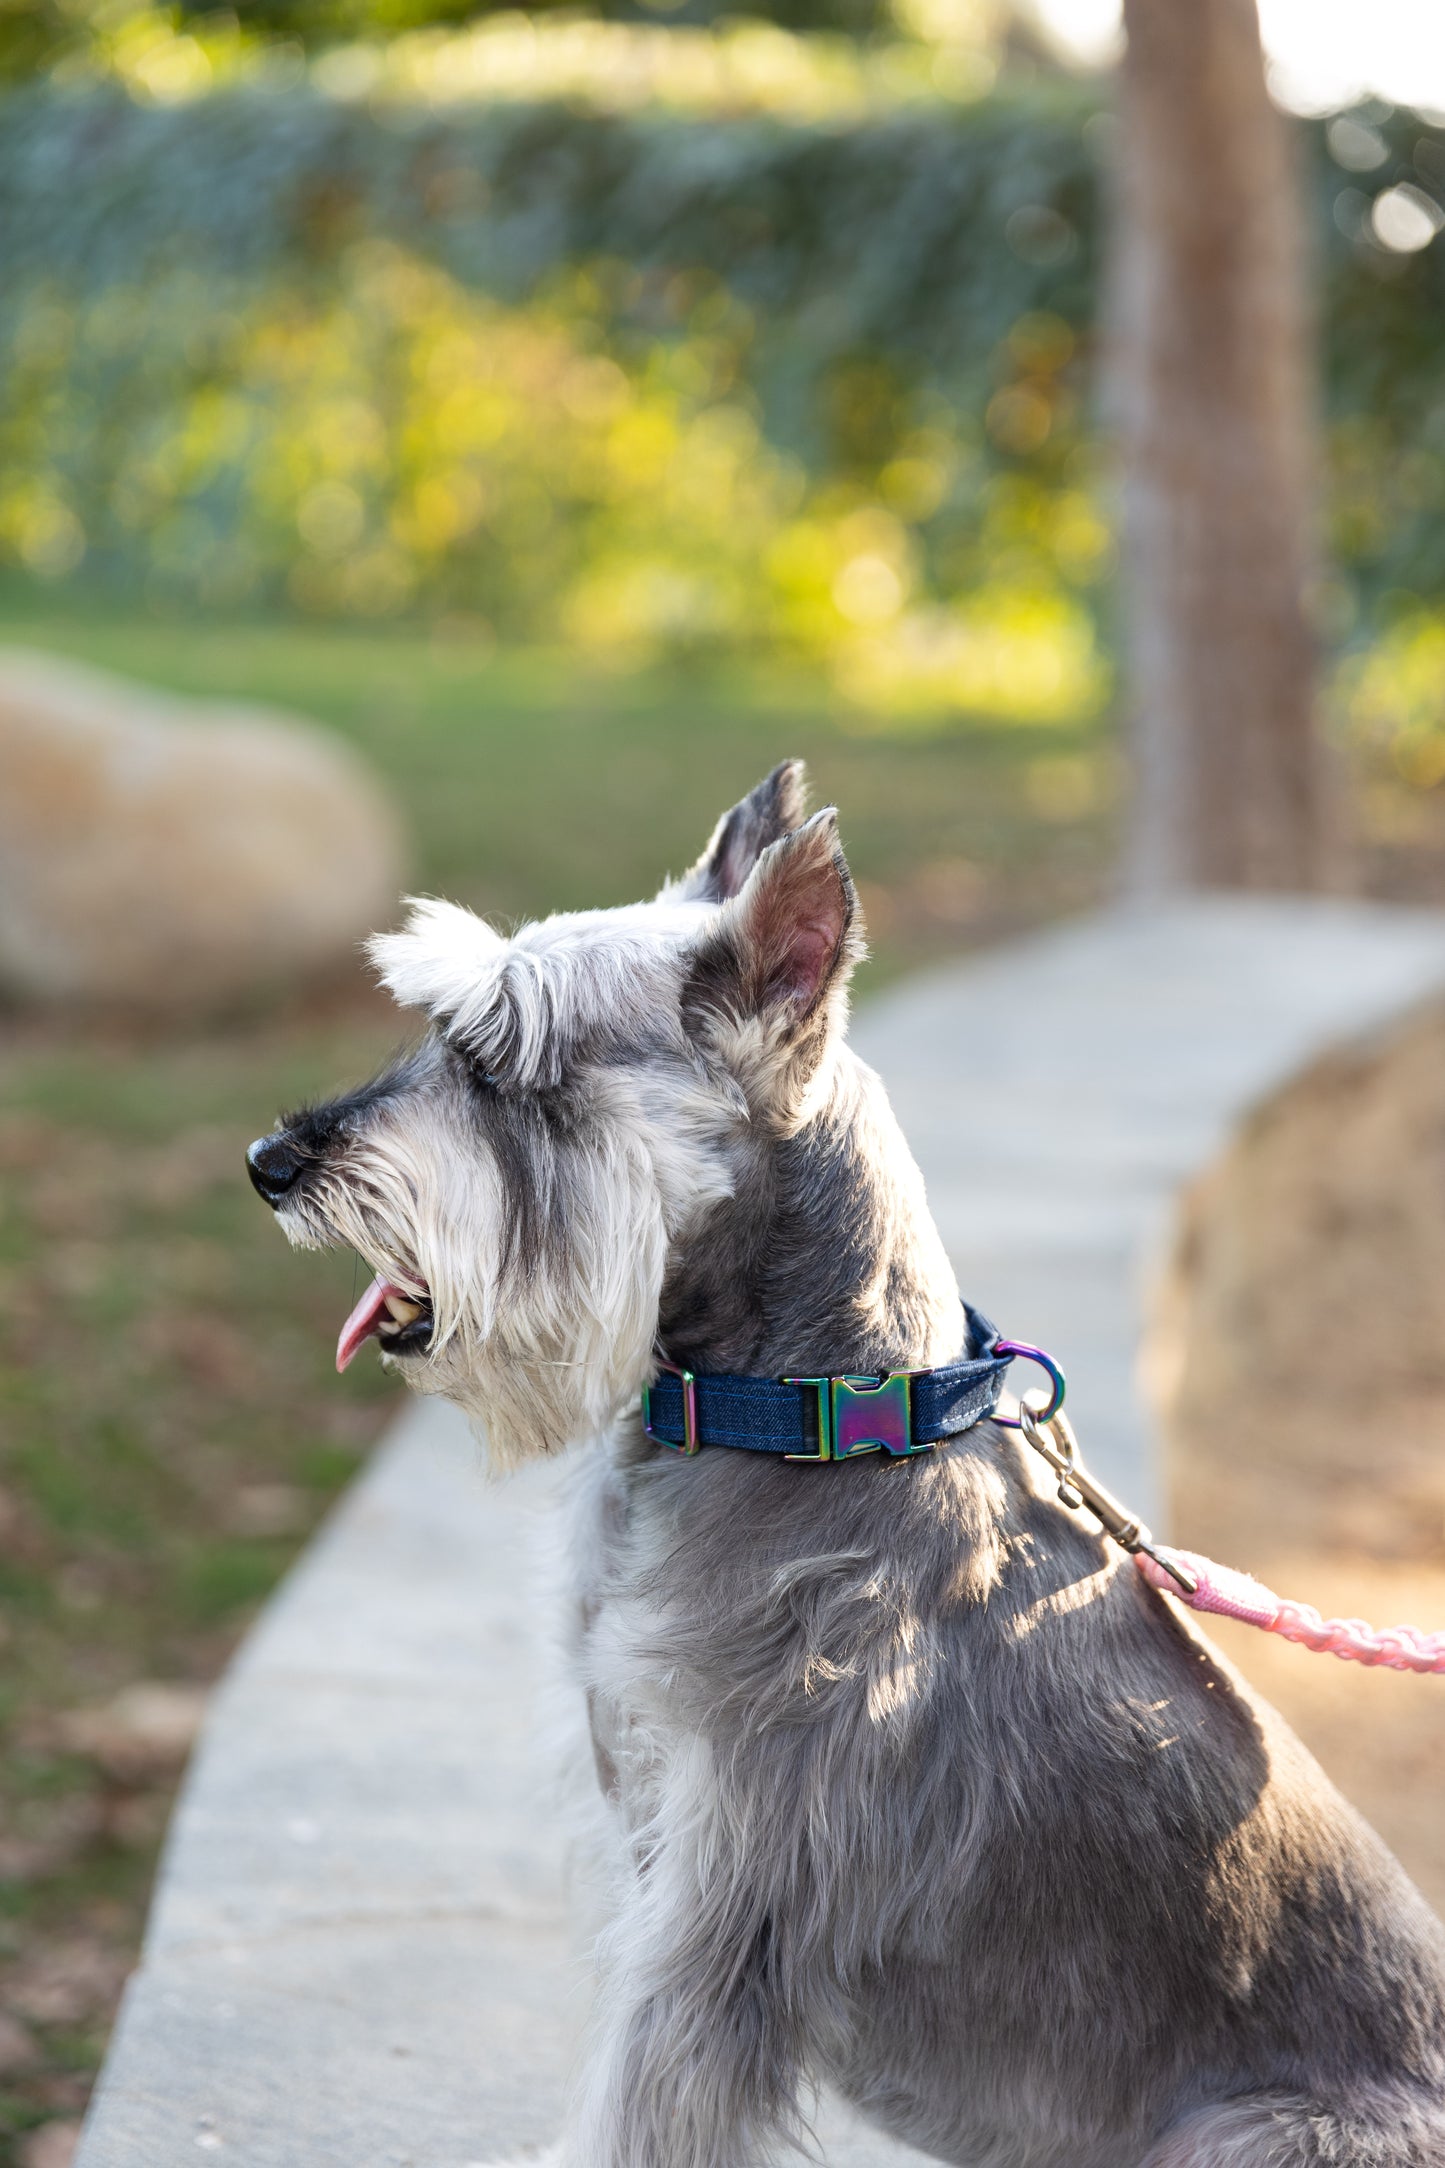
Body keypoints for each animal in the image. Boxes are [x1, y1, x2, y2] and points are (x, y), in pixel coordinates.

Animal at [249, 767, 1445, 2168]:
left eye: (497, 1061)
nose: (270, 1162)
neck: (807, 1416)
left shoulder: (719, 1919)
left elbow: (631, 2112)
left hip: (1252, 2134)